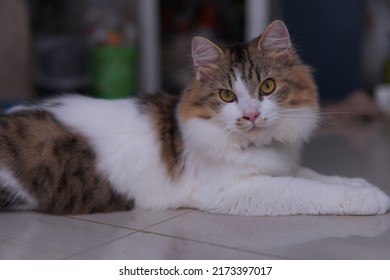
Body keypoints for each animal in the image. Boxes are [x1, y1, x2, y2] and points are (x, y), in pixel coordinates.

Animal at [0, 20, 390, 215]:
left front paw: (364, 184)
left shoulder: (279, 165)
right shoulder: (235, 190)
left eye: (267, 86)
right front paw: (372, 199)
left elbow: (316, 175)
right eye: (227, 95)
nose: (251, 114)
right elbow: (311, 189)